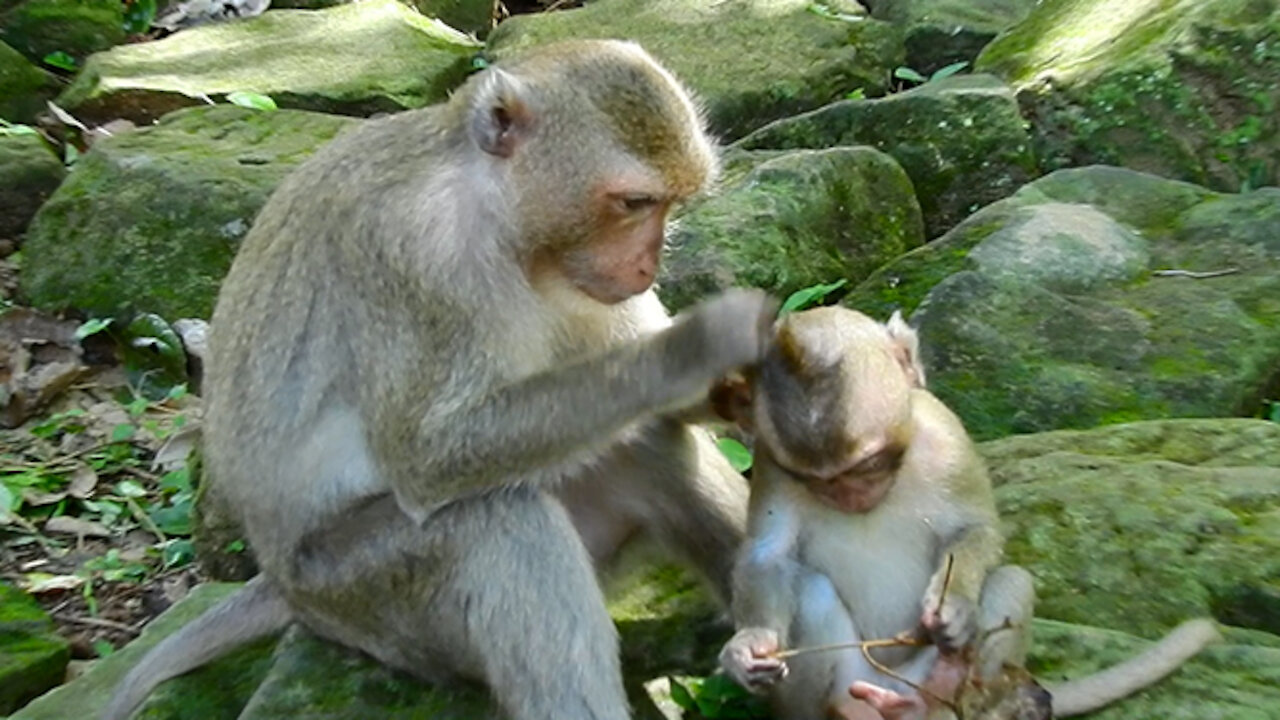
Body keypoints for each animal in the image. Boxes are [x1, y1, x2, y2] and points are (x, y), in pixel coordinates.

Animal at [104, 40, 773, 717]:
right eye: (635, 203)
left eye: (671, 203)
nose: (647, 264)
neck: (506, 225)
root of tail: (283, 586)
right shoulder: (415, 259)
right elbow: (428, 459)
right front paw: (694, 348)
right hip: (364, 598)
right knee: (490, 518)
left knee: (637, 438)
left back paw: (757, 635)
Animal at [721, 308, 1218, 717]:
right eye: (817, 479)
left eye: (869, 464)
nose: (850, 497)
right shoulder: (771, 462)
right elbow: (768, 556)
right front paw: (749, 646)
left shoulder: (949, 435)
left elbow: (976, 528)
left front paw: (955, 606)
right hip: (852, 680)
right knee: (809, 594)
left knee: (1010, 582)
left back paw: (944, 691)